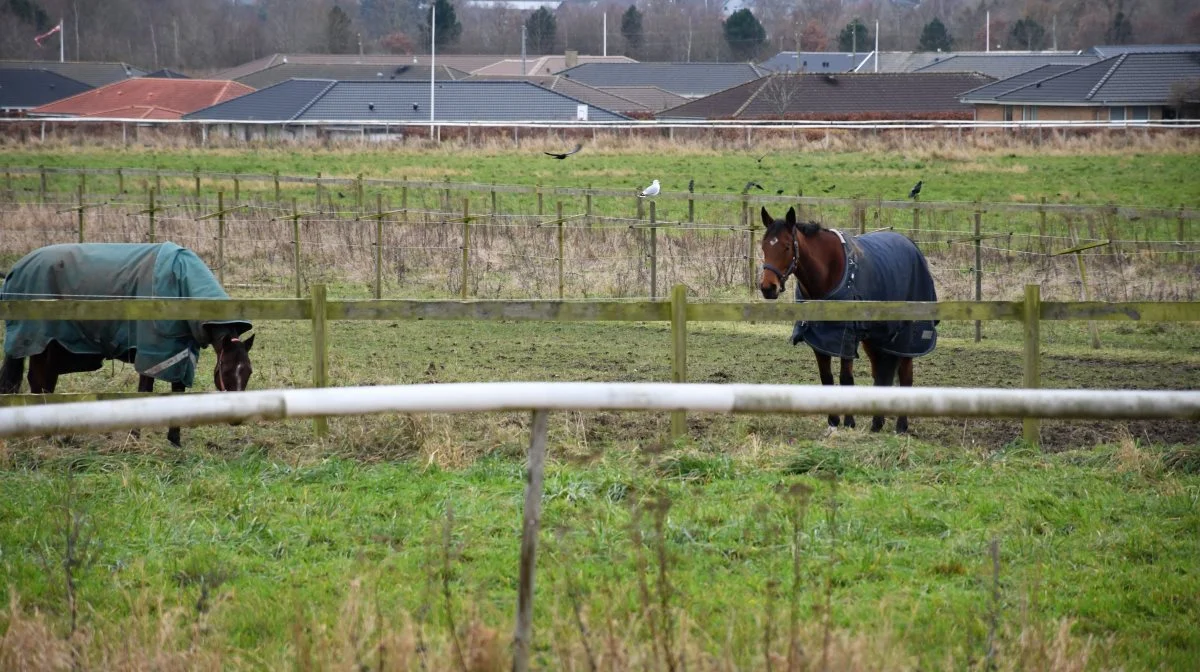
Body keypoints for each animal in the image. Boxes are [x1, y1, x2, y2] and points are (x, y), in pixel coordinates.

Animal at [1, 242, 255, 446]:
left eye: (248, 372)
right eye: (225, 370)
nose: (238, 418)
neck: (180, 287)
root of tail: (16, 269)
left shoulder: (182, 354)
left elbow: (177, 391)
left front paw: (174, 441)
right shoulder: (151, 353)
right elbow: (145, 392)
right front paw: (135, 438)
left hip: (51, 347)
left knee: (42, 382)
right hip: (40, 343)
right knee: (38, 382)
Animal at [758, 207, 936, 432]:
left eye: (787, 246)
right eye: (764, 246)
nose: (768, 288)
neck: (828, 272)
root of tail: (911, 245)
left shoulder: (847, 337)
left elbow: (846, 379)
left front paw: (849, 422)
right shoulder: (820, 338)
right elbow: (827, 378)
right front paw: (833, 422)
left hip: (905, 338)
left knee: (905, 375)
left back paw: (901, 426)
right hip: (876, 338)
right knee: (880, 374)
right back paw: (876, 424)